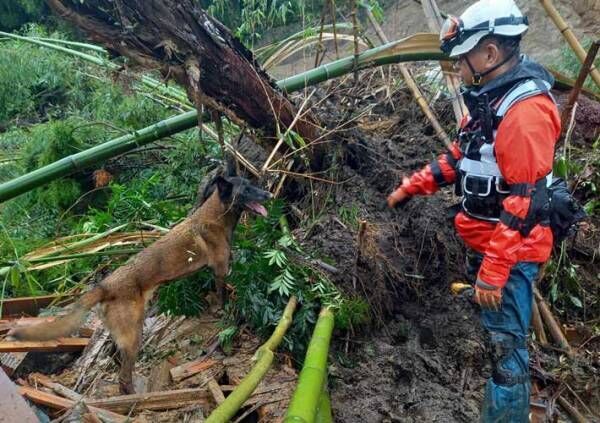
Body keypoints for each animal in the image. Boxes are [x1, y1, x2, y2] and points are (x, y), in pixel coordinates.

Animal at [8, 166, 270, 394]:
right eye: (246, 189)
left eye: (252, 185)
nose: (268, 193)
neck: (216, 214)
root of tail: (104, 285)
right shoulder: (220, 270)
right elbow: (223, 296)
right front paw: (225, 314)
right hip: (134, 334)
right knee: (124, 376)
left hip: (122, 333)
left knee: (115, 361)